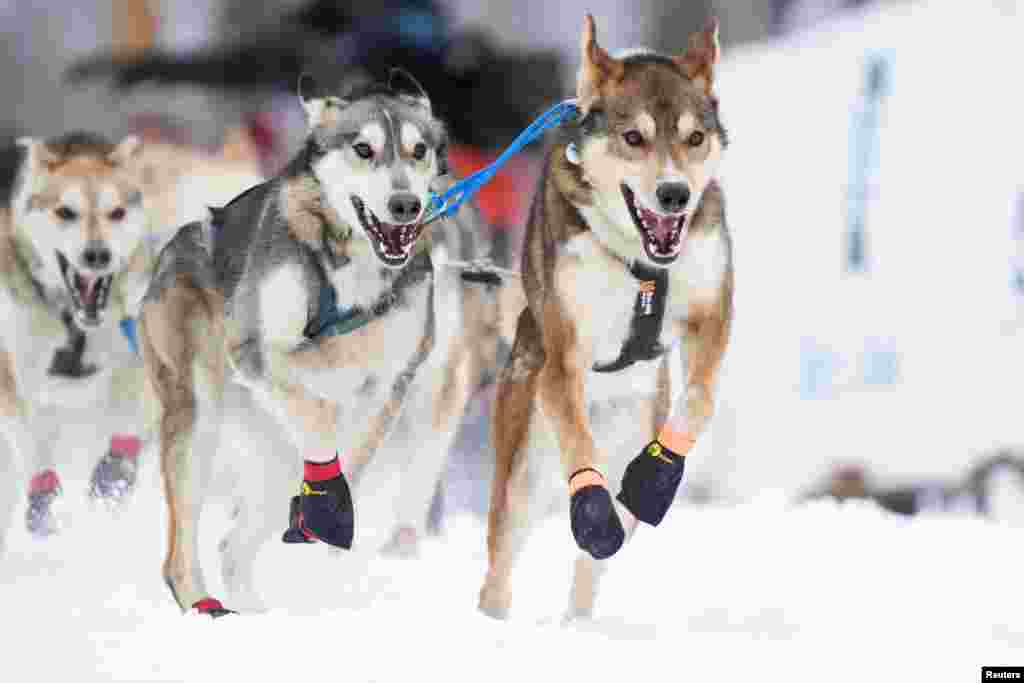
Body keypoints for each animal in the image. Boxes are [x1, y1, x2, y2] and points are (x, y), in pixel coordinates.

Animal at [143, 73, 491, 614]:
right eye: (363, 149)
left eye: (418, 151)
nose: (405, 205)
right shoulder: (256, 350)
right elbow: (320, 413)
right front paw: (328, 497)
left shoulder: (393, 381)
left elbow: (357, 444)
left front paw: (328, 508)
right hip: (197, 419)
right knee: (181, 554)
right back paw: (204, 604)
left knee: (234, 547)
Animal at [475, 15, 733, 622]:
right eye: (633, 137)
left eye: (694, 138)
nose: (674, 194)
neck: (642, 263)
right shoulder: (564, 356)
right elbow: (579, 451)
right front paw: (590, 509)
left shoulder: (712, 314)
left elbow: (699, 399)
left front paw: (658, 475)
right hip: (521, 466)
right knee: (500, 567)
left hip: (631, 442)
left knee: (593, 565)